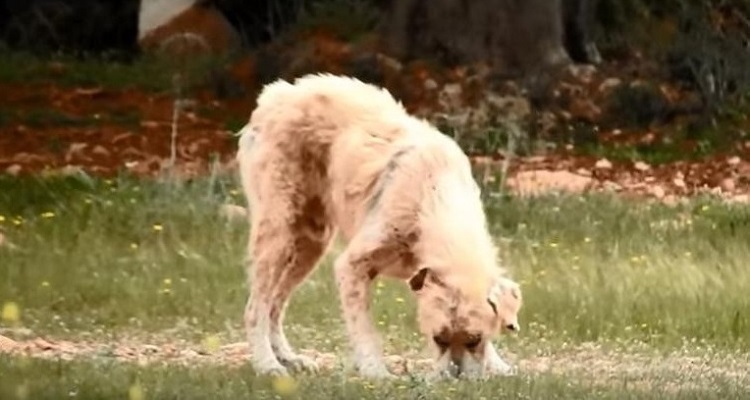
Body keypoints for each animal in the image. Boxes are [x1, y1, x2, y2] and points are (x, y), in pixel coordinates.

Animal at [235, 74, 524, 378]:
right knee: (256, 309)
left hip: (309, 244)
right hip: (278, 235)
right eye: (438, 339)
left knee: (275, 307)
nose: (455, 379)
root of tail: (276, 94)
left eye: (474, 340)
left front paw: (498, 366)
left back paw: (288, 358)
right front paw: (376, 372)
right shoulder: (351, 267)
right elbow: (365, 332)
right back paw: (267, 364)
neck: (434, 194)